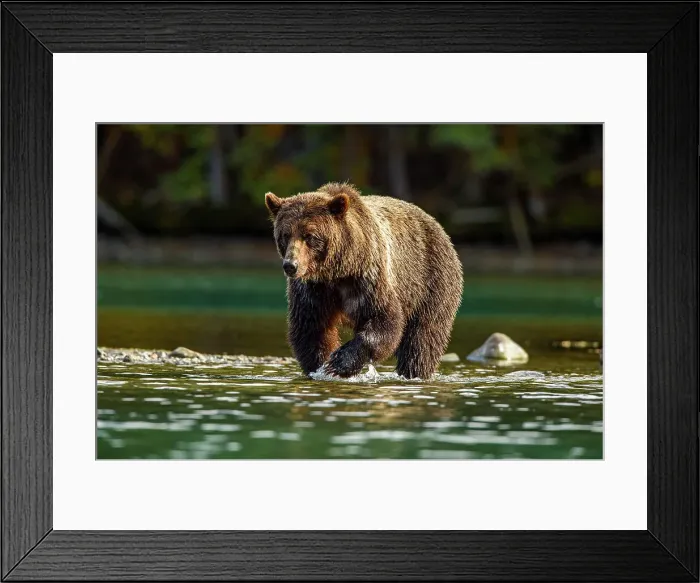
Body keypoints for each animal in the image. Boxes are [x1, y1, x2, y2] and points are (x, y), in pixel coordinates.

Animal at [265, 182, 463, 380]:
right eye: (285, 235)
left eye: (309, 236)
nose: (291, 265)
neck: (337, 271)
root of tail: (438, 226)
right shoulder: (314, 290)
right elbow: (311, 328)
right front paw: (320, 365)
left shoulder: (368, 278)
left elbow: (384, 319)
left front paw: (340, 362)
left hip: (431, 281)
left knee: (422, 341)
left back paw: (414, 372)